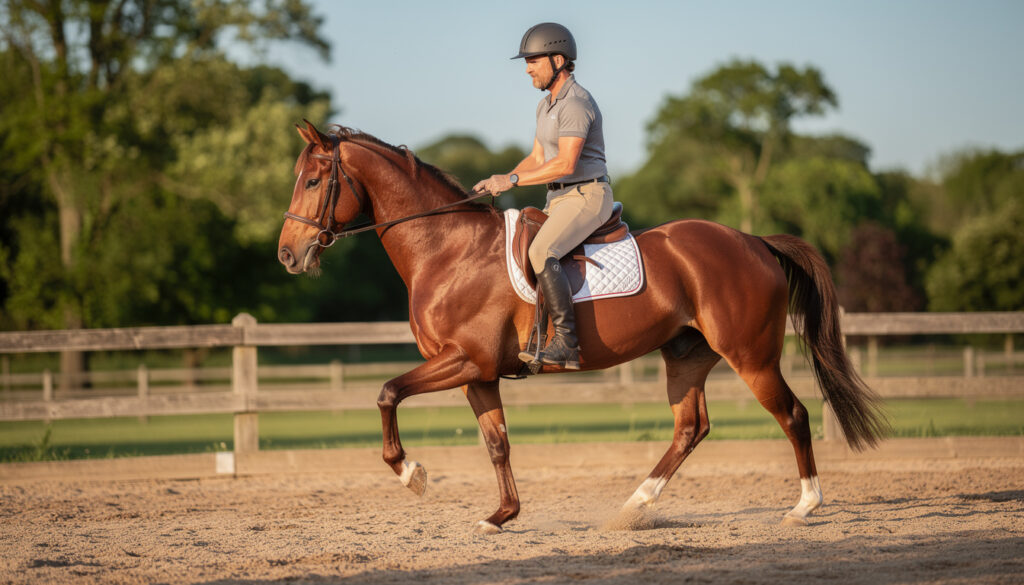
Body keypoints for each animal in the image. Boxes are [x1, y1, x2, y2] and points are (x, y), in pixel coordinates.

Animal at [277, 121, 888, 534]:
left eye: (314, 181)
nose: (287, 255)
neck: (448, 250)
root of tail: (753, 241)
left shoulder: (465, 360)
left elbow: (387, 392)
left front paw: (412, 473)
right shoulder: (479, 373)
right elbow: (497, 443)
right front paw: (502, 515)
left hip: (750, 356)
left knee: (793, 414)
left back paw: (804, 505)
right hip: (686, 355)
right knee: (690, 428)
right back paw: (634, 506)